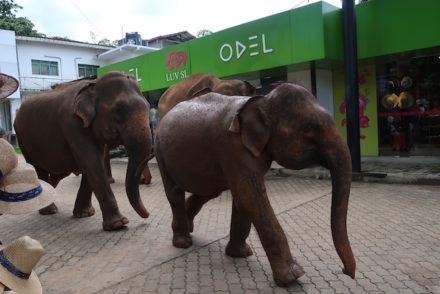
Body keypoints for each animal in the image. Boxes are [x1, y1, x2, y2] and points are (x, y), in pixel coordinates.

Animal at [14, 70, 151, 230]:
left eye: (148, 106)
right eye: (118, 110)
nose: (147, 216)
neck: (92, 85)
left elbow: (94, 162)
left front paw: (85, 214)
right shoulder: (72, 124)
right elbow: (91, 161)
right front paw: (118, 224)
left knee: (58, 173)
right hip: (22, 138)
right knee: (37, 168)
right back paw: (49, 210)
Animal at [156, 83, 356, 288]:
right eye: (310, 126)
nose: (345, 272)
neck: (262, 101)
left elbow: (243, 199)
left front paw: (241, 254)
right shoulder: (231, 147)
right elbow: (249, 197)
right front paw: (293, 276)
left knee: (209, 191)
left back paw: (189, 228)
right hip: (160, 151)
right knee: (175, 193)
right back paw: (182, 242)